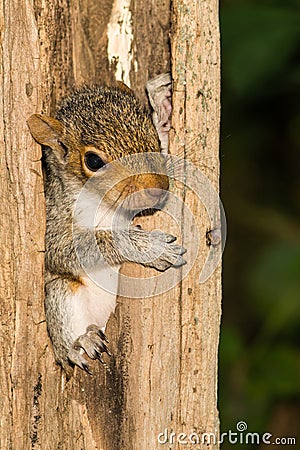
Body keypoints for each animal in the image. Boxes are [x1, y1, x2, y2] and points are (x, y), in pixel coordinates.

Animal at [27, 74, 186, 376]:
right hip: (62, 295)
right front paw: (150, 247)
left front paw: (163, 104)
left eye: (148, 131)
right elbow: (62, 249)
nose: (157, 187)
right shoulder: (55, 220)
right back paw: (83, 342)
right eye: (93, 161)